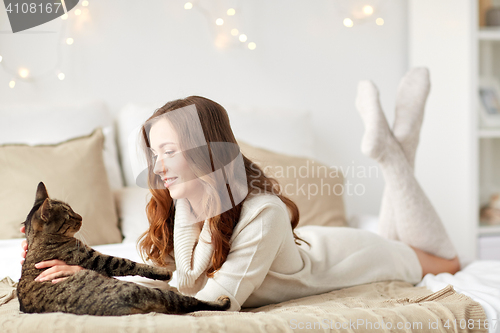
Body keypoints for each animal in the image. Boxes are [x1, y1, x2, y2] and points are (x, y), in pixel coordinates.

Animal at [16, 183, 231, 316]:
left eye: (72, 208)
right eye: (68, 215)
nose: (81, 217)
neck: (38, 240)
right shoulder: (92, 257)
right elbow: (128, 263)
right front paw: (163, 272)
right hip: (148, 291)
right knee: (192, 302)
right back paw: (222, 301)